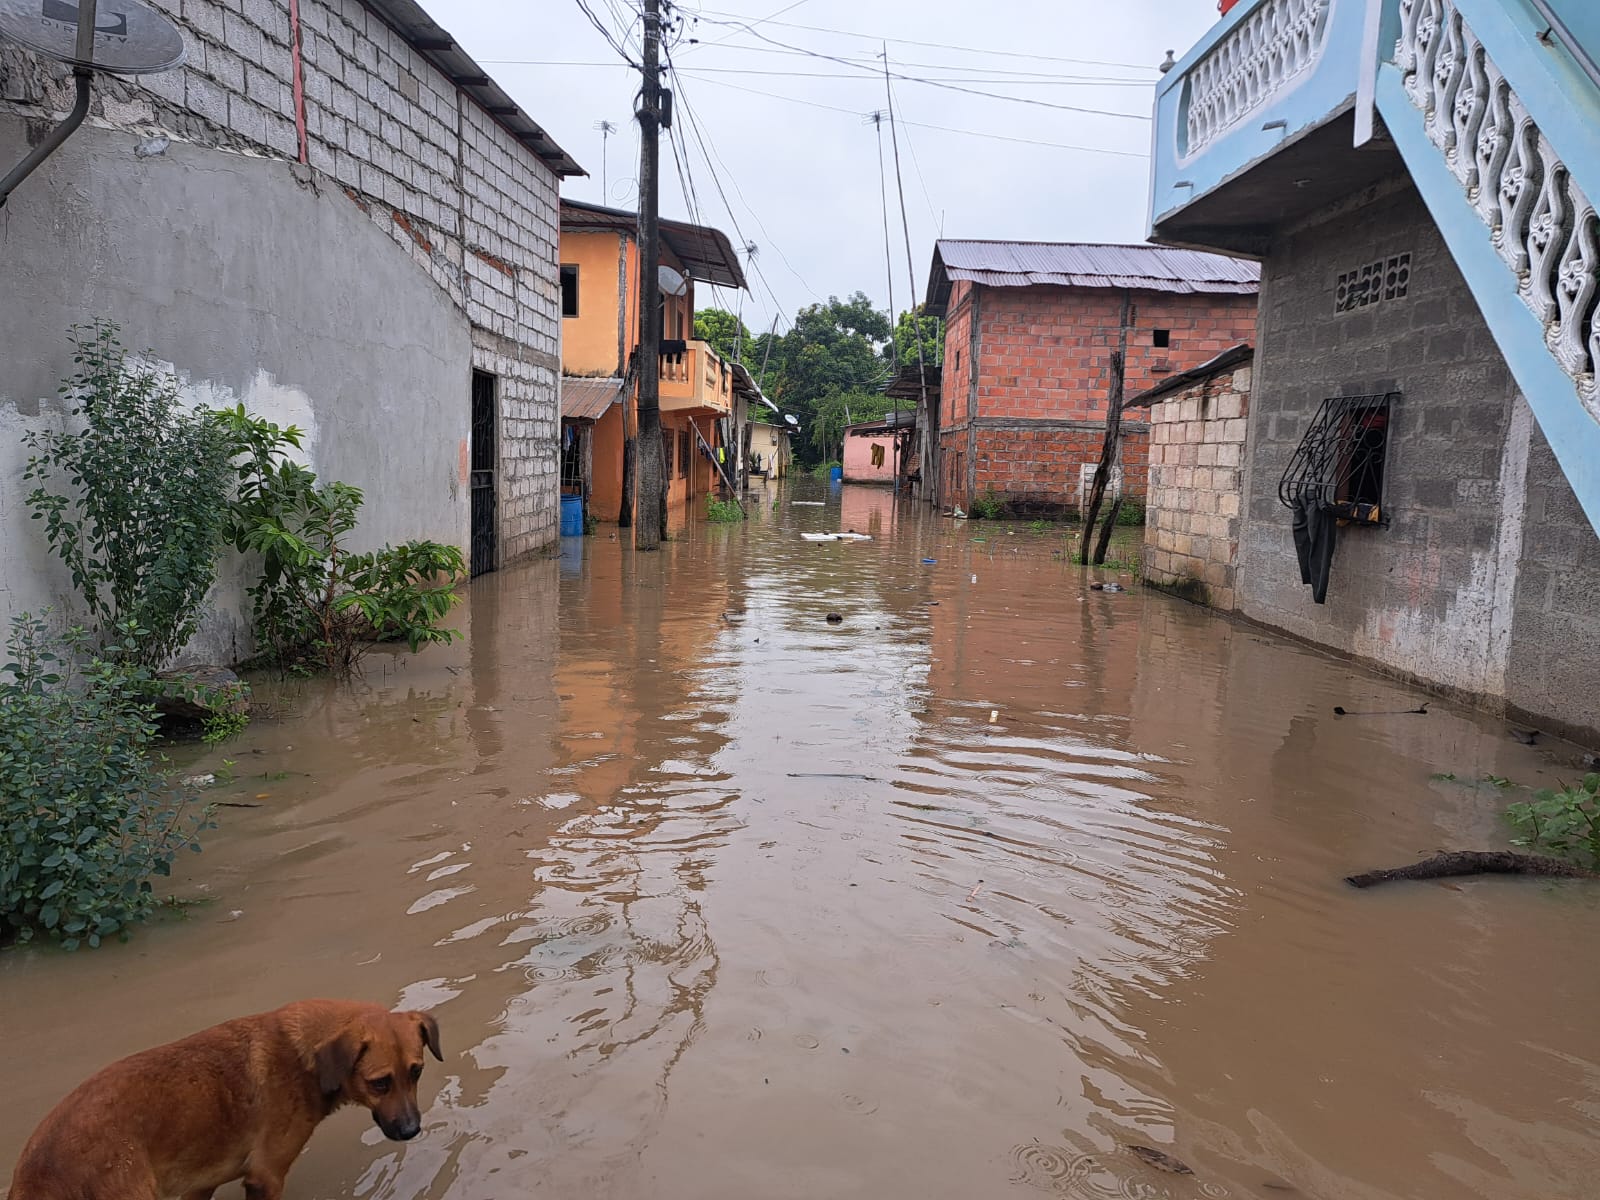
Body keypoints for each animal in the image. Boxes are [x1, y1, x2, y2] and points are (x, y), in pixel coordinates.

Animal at [9, 999, 442, 1200]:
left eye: (416, 1072)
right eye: (380, 1083)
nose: (411, 1130)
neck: (304, 1058)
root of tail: (41, 1164)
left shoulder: (200, 1185)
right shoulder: (265, 1177)